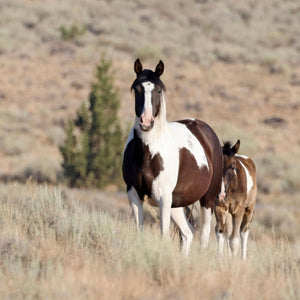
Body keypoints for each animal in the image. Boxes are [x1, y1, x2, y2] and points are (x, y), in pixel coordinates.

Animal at [122, 59, 223, 255]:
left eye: (158, 90)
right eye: (137, 89)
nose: (146, 122)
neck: (148, 153)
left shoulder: (163, 197)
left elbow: (164, 236)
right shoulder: (134, 194)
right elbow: (140, 232)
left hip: (207, 199)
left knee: (204, 235)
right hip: (177, 204)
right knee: (188, 233)